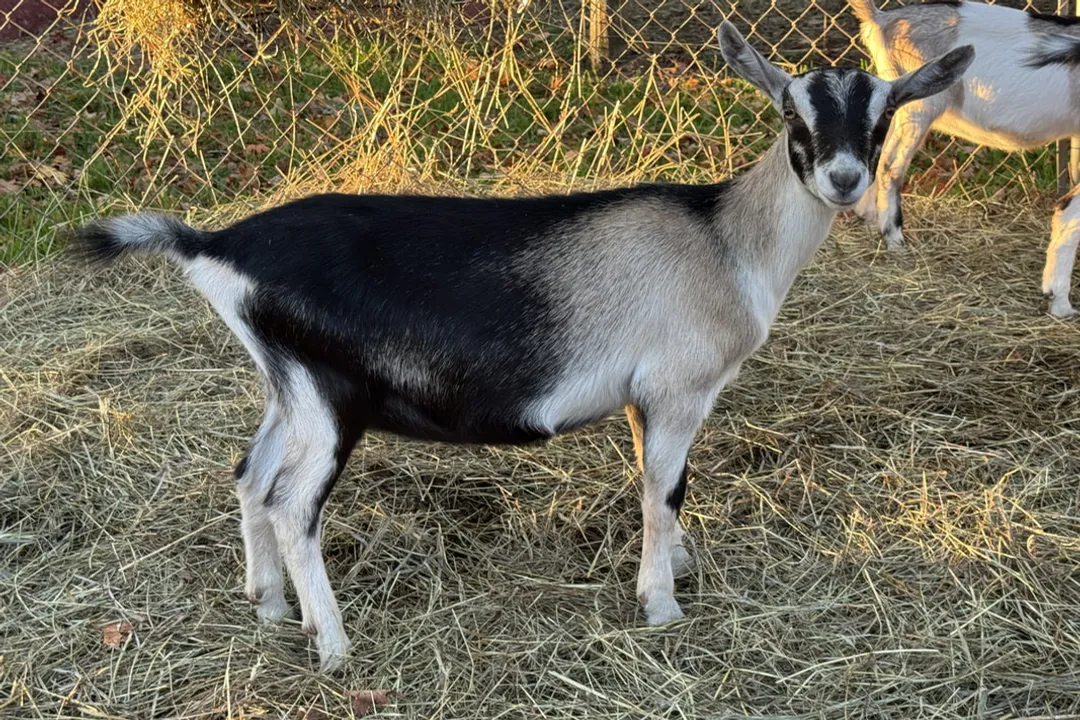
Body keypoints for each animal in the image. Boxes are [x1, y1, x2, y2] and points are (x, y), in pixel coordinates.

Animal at [70, 23, 972, 672]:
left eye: (882, 116)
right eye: (792, 114)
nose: (846, 180)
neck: (723, 239)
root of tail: (214, 244)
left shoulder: (646, 399)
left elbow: (659, 490)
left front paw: (678, 570)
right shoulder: (678, 388)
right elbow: (664, 492)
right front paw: (662, 607)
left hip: (285, 387)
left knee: (250, 478)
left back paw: (267, 608)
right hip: (329, 399)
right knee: (292, 504)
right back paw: (333, 646)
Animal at [849, 0, 1080, 317]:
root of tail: (883, 20)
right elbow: (1070, 210)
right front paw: (1059, 303)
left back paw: (869, 218)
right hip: (918, 107)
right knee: (890, 165)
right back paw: (894, 238)